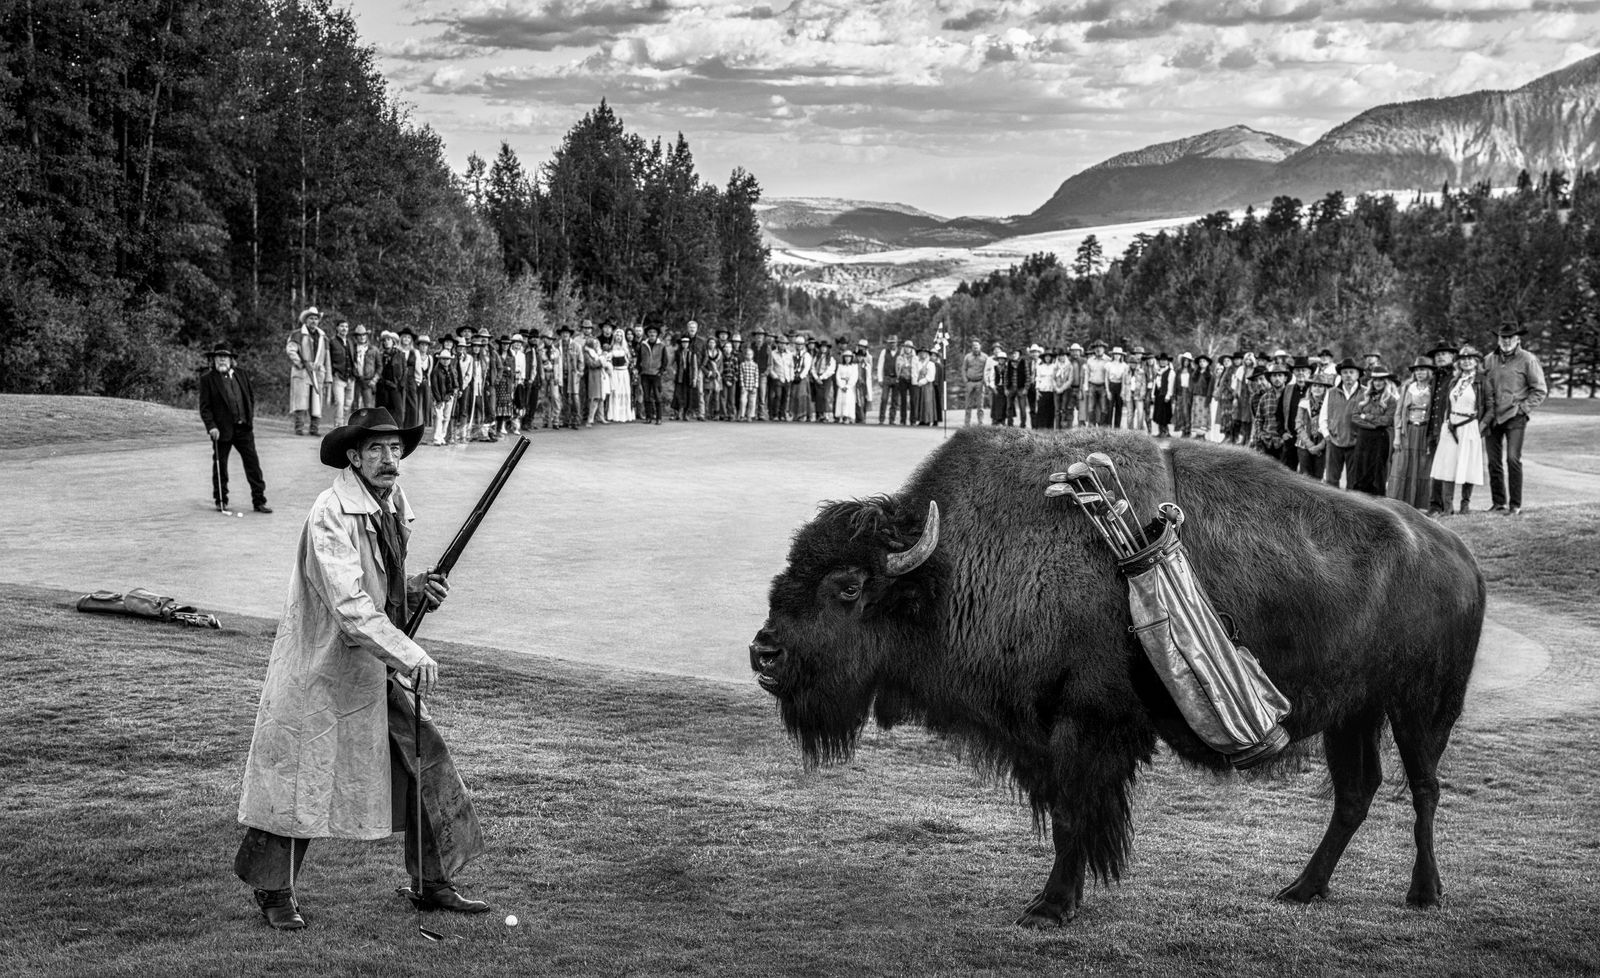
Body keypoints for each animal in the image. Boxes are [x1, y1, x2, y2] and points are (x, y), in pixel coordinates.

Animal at [750, 426, 1483, 926]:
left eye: (848, 586)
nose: (763, 654)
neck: (950, 570)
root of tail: (1456, 552)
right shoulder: (1048, 738)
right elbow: (1068, 815)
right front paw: (1064, 899)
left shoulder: (1085, 728)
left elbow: (1076, 816)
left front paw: (1049, 908)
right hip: (1351, 715)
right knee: (1356, 793)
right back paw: (1301, 889)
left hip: (1420, 709)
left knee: (1423, 789)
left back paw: (1424, 894)